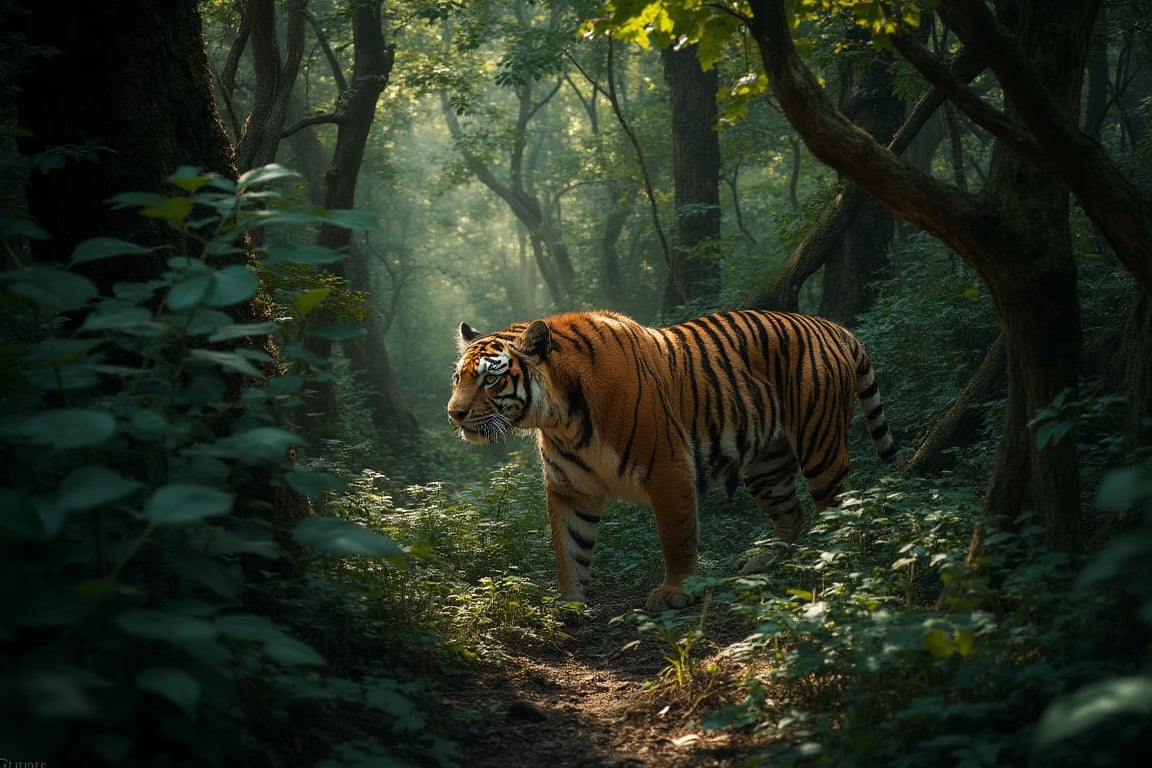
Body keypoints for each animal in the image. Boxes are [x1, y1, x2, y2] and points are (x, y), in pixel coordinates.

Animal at [444, 308, 903, 607]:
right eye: (458, 378)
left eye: (490, 378)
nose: (454, 413)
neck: (560, 416)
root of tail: (832, 325)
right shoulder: (570, 487)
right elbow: (569, 548)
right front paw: (568, 605)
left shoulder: (667, 469)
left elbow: (676, 537)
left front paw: (676, 592)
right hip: (767, 464)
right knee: (792, 515)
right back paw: (760, 563)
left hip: (820, 446)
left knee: (841, 510)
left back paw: (834, 567)